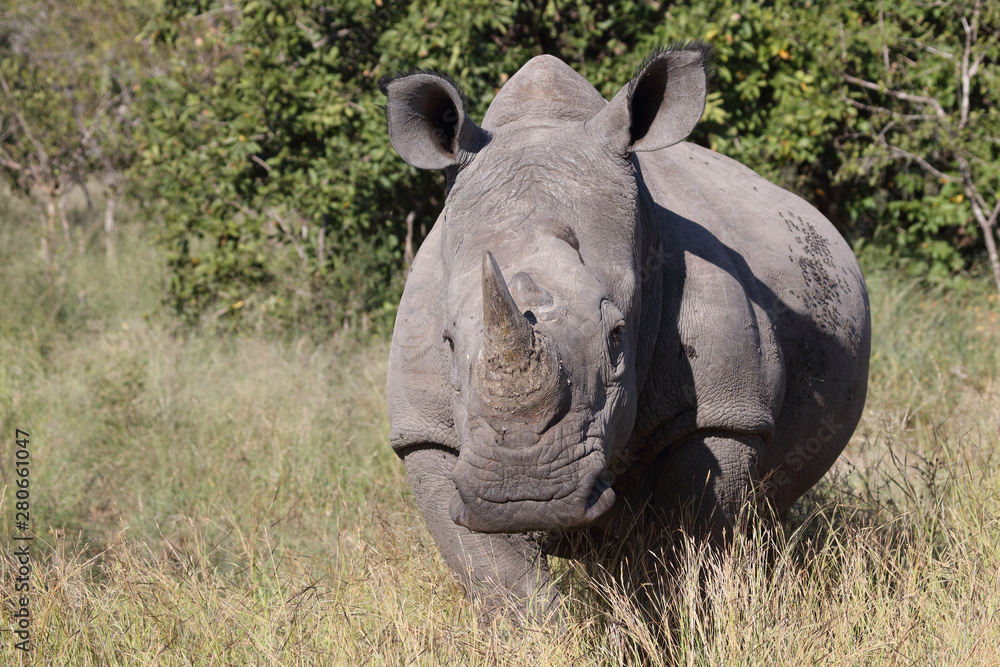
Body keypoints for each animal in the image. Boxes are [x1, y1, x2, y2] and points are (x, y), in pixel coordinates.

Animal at [381, 43, 870, 619]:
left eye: (617, 338)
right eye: (448, 341)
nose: (523, 493)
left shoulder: (727, 413)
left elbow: (686, 547)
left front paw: (665, 622)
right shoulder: (424, 434)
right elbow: (496, 578)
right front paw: (546, 632)